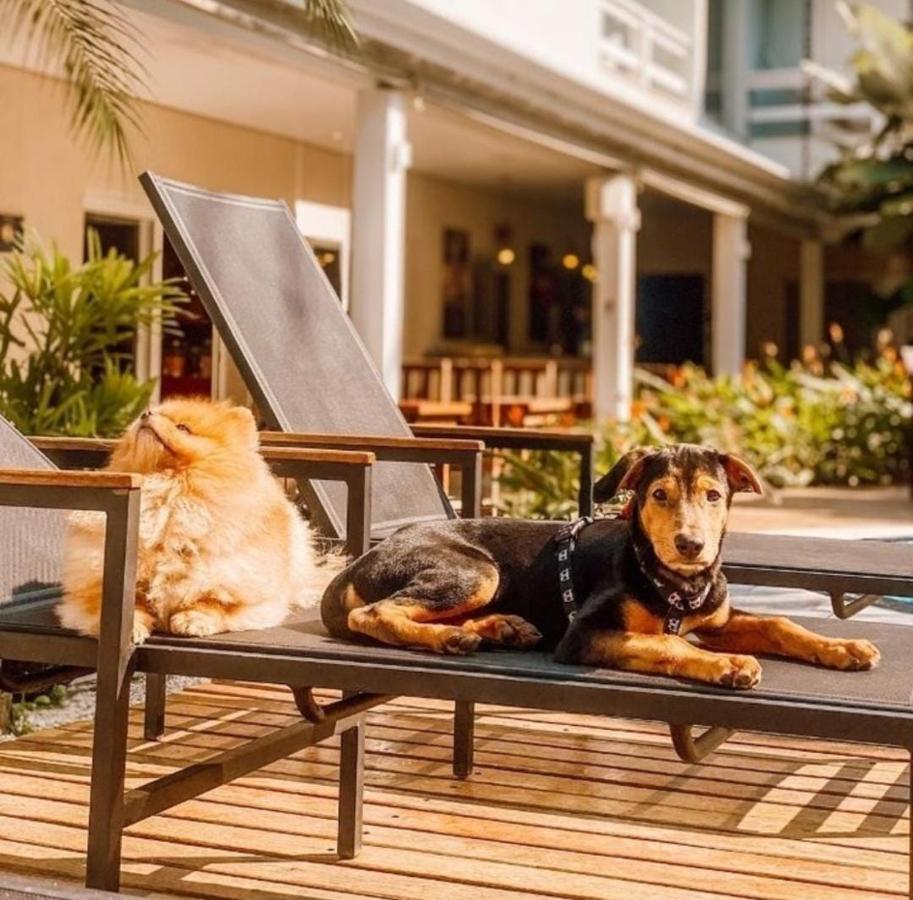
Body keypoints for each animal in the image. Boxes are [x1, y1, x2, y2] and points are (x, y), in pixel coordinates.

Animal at [53, 400, 334, 640]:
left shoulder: (249, 591)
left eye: (183, 428)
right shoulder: (94, 588)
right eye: (151, 412)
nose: (146, 413)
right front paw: (133, 628)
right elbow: (125, 607)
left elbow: (215, 601)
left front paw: (193, 619)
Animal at [324, 444, 880, 688]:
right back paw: (450, 638)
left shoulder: (718, 618)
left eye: (714, 495)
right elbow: (667, 643)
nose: (691, 544)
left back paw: (495, 629)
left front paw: (845, 648)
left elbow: (781, 623)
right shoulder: (583, 634)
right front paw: (727, 664)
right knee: (373, 613)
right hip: (475, 571)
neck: (676, 585)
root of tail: (362, 559)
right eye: (658, 495)